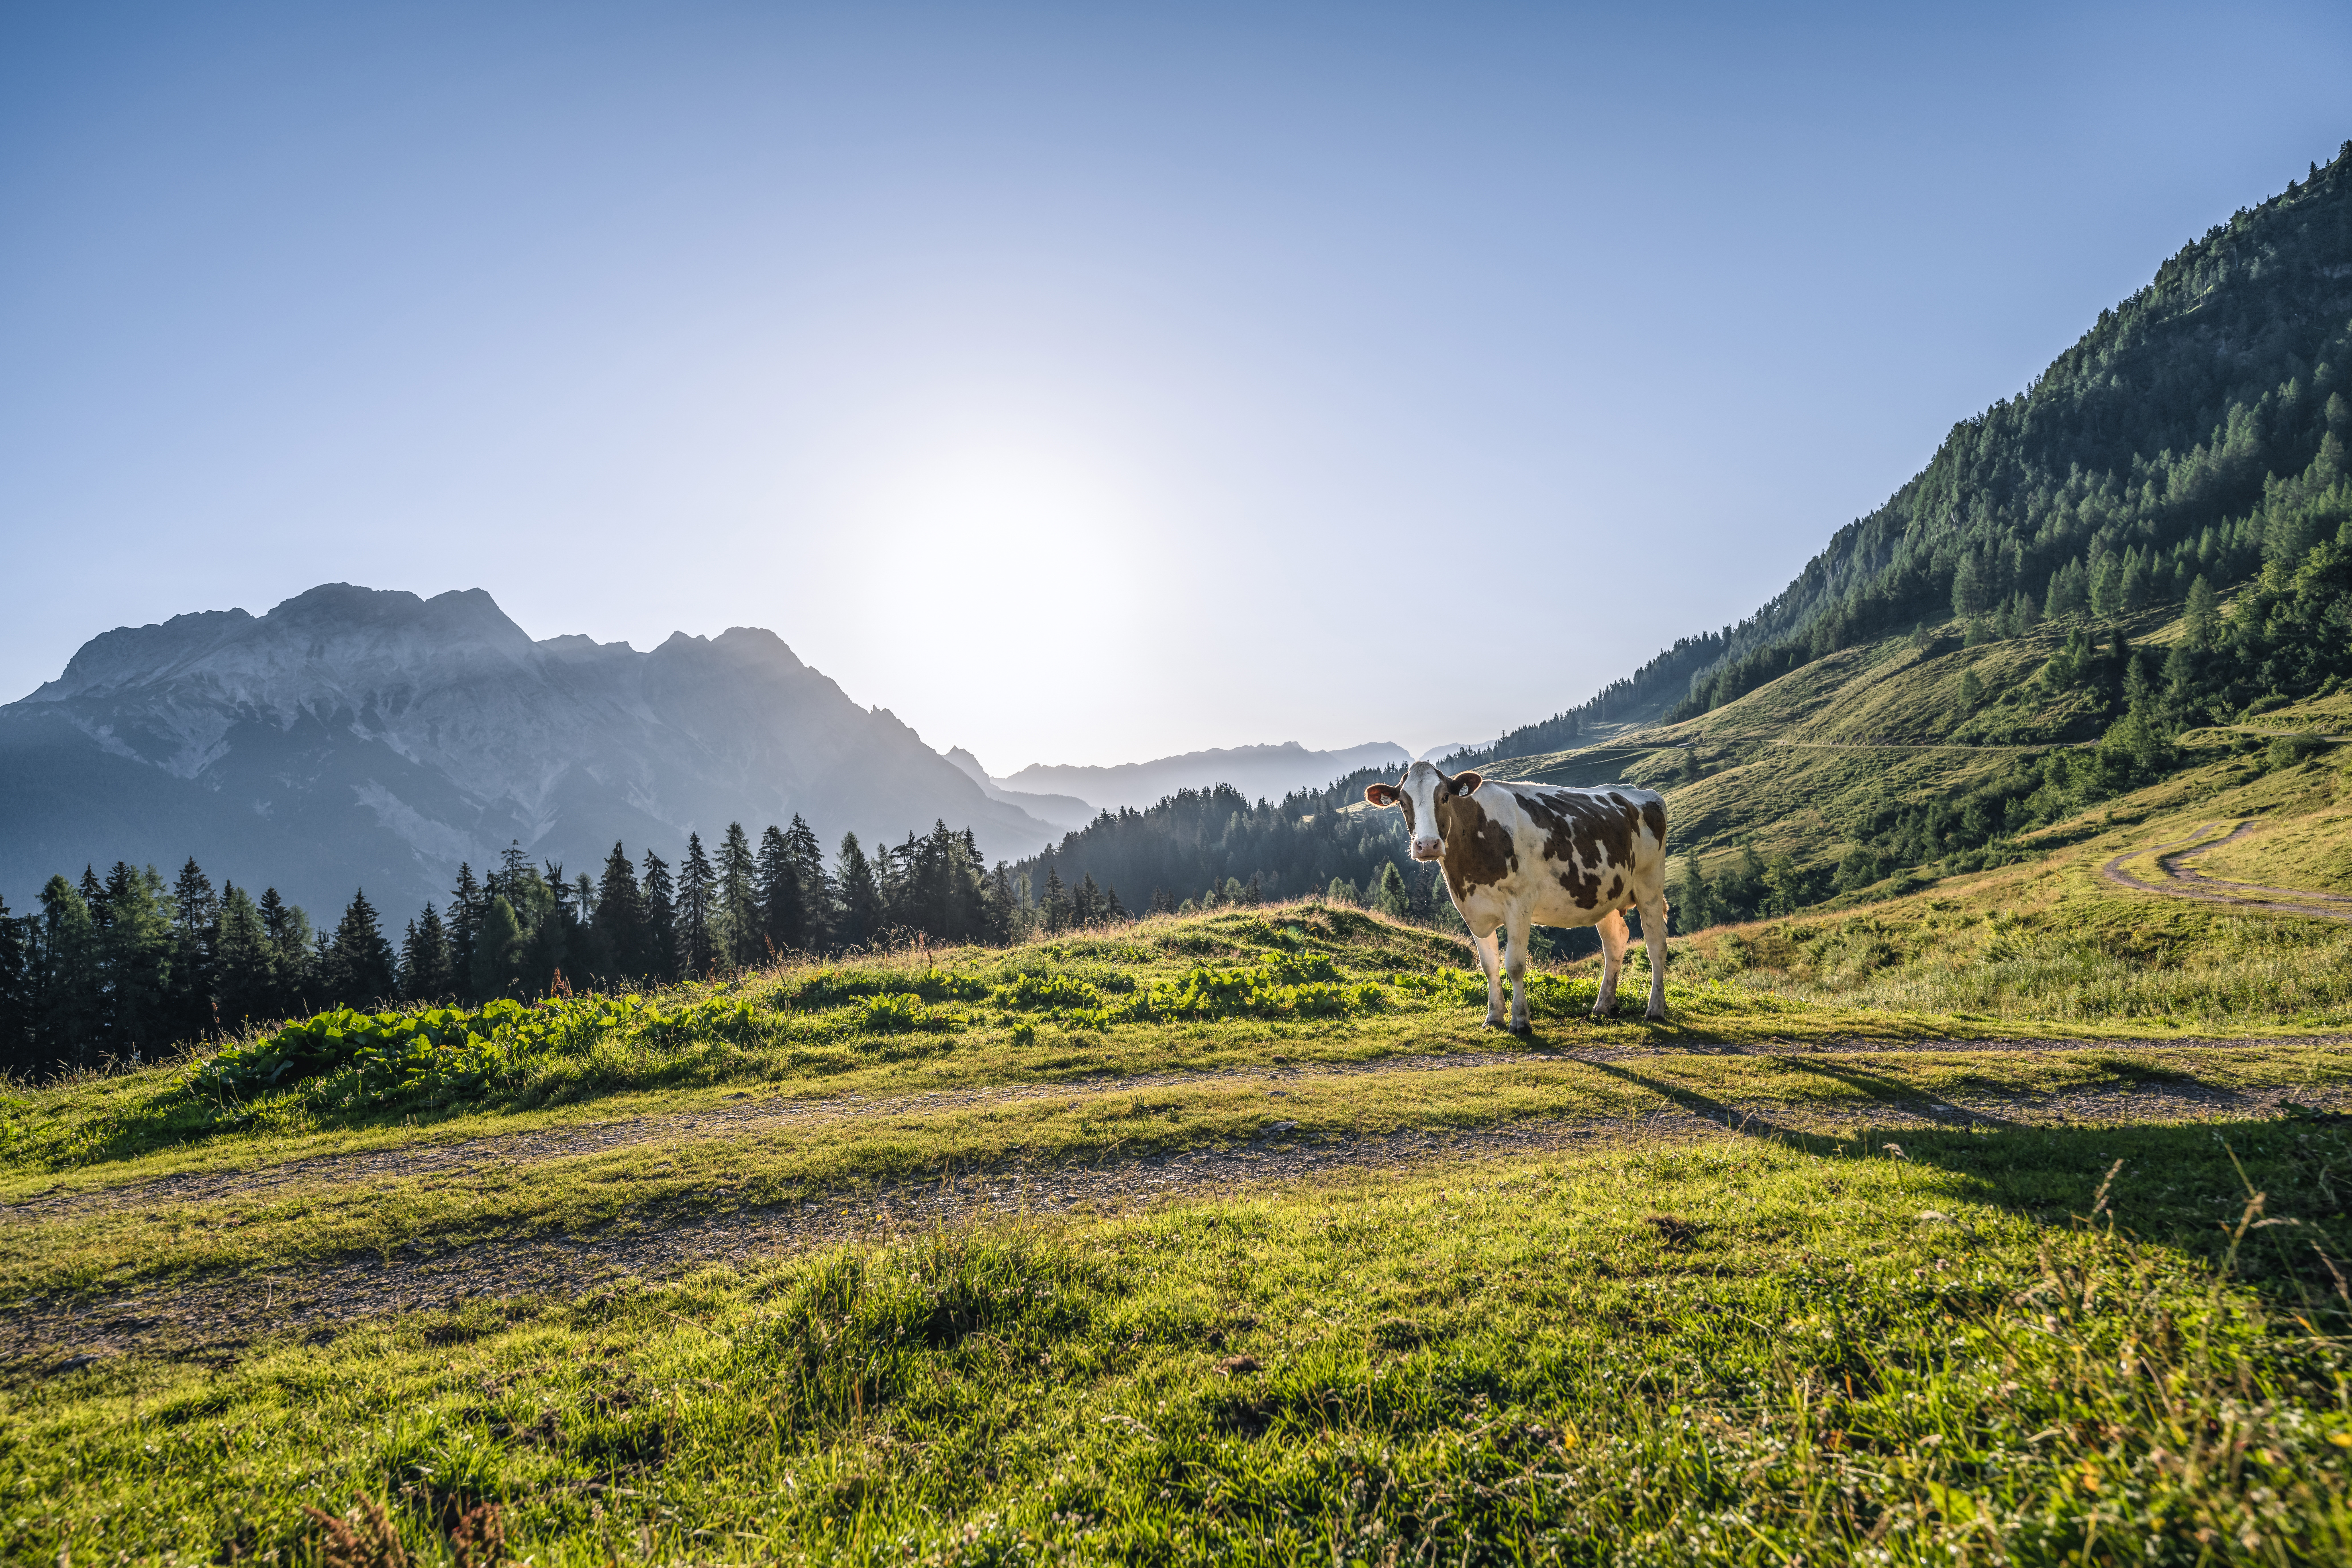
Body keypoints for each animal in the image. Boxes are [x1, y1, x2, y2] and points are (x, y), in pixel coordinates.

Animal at [1365, 761, 1669, 1030]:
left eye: (1445, 797)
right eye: (1403, 803)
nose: (1427, 845)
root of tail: (1644, 794)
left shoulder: (1520, 906)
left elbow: (1515, 965)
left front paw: (1520, 1021)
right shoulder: (1474, 910)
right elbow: (1489, 966)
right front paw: (1493, 1018)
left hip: (1650, 885)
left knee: (1656, 947)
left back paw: (1655, 1010)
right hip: (1606, 895)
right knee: (1615, 944)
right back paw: (1603, 1006)